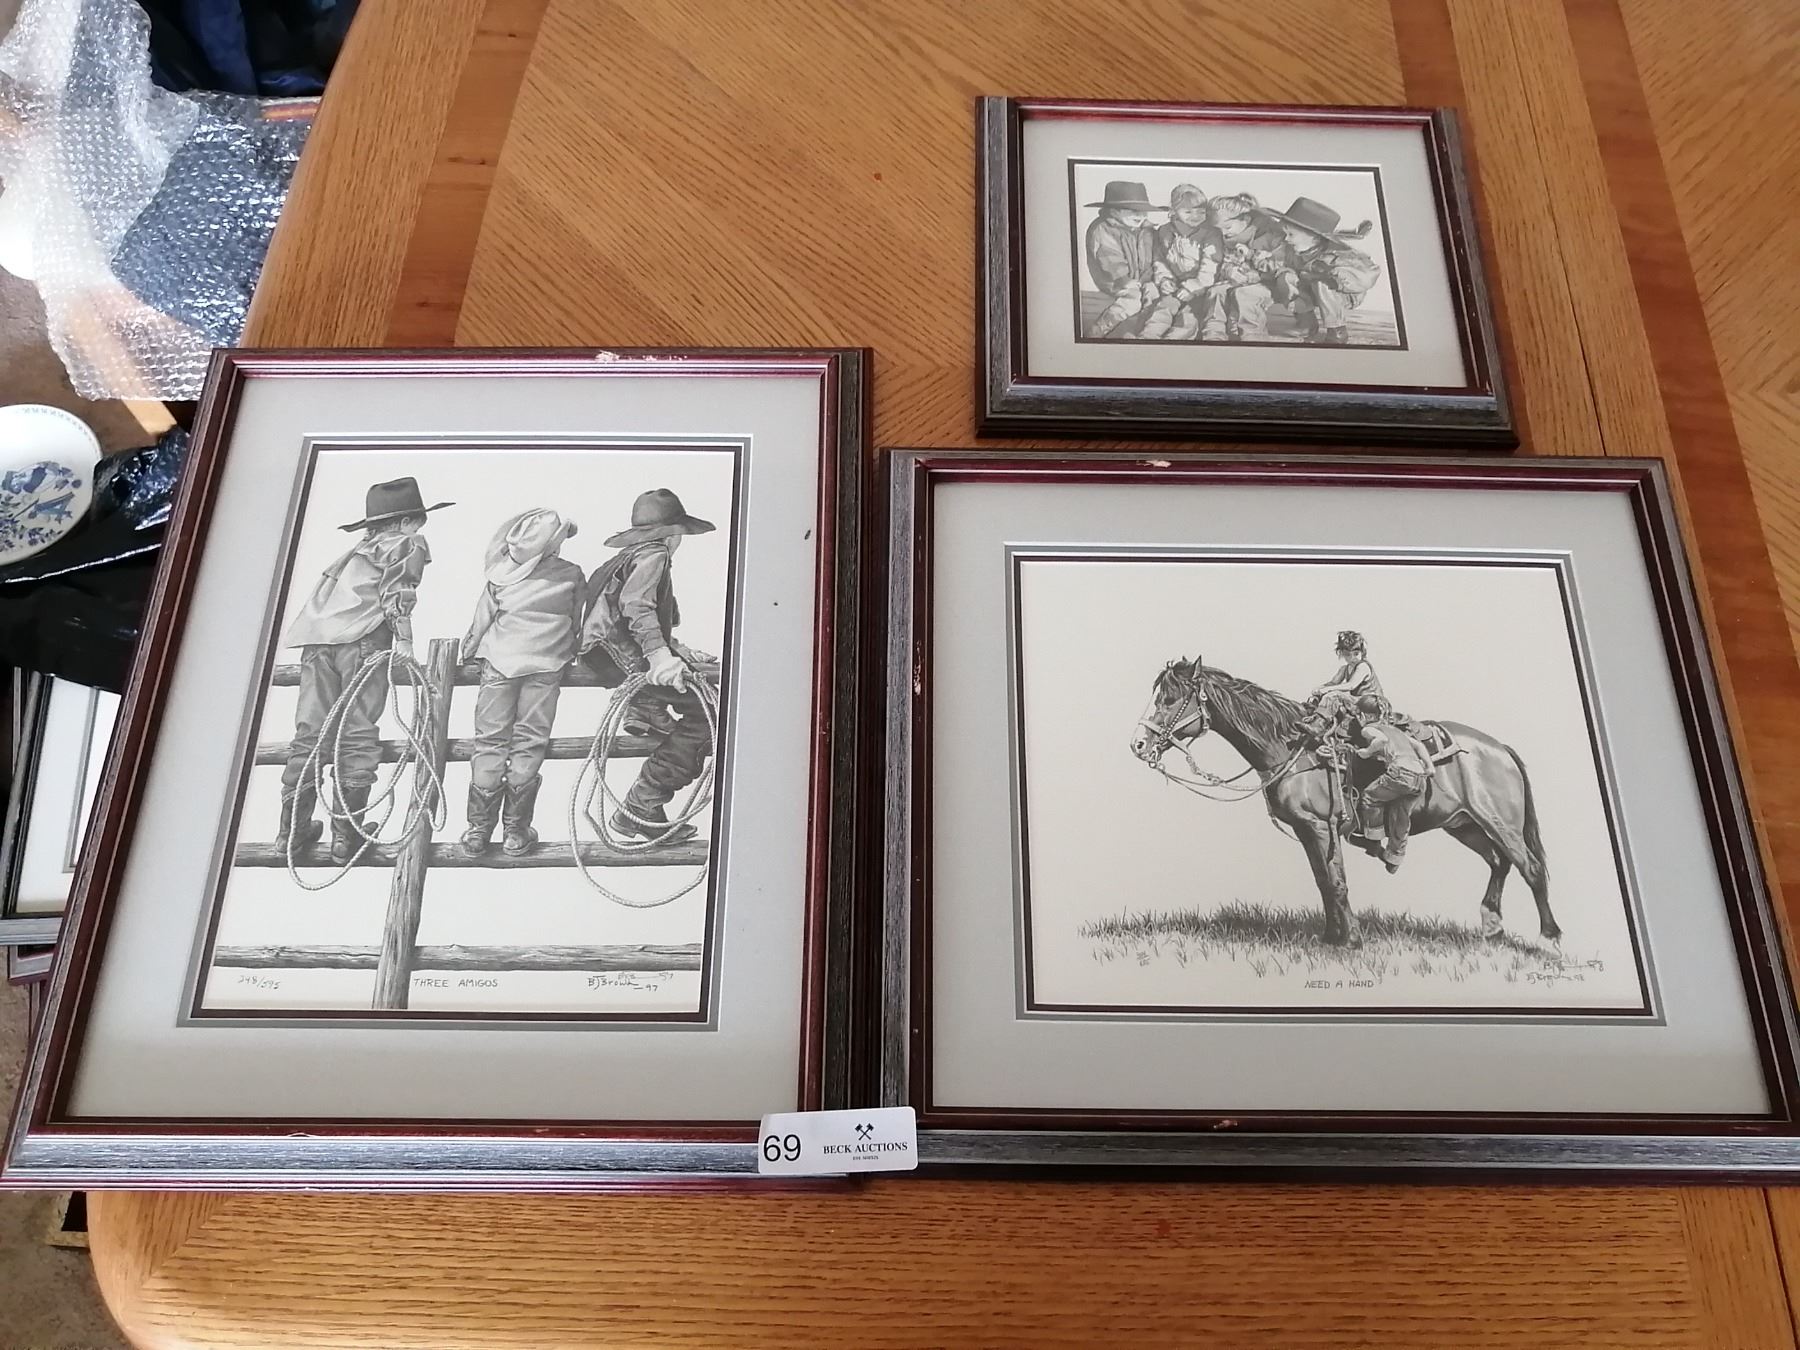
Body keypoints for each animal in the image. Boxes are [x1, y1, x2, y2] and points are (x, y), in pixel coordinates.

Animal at [1127, 656, 1558, 949]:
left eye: (1169, 698)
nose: (1138, 744)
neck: (1293, 747)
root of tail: (1499, 748)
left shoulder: (1322, 826)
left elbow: (1336, 882)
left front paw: (1350, 939)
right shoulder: (1308, 830)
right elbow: (1323, 881)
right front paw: (1332, 937)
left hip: (1501, 823)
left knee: (1531, 868)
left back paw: (1549, 938)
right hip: (1464, 824)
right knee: (1499, 864)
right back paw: (1492, 927)